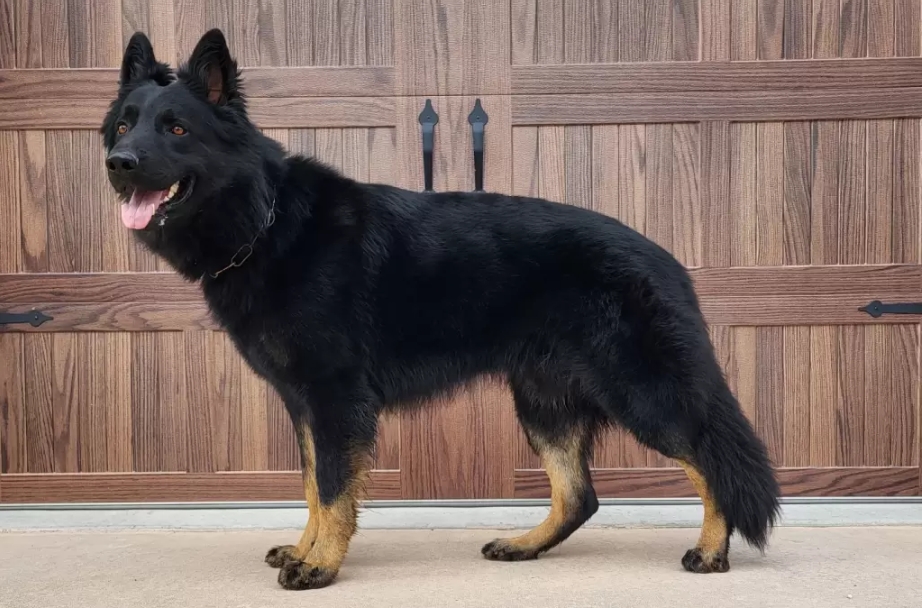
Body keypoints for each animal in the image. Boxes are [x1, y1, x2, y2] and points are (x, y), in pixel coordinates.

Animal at [100, 28, 776, 588]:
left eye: (177, 129)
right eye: (125, 126)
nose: (118, 164)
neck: (264, 222)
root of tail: (667, 259)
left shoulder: (334, 399)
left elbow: (332, 487)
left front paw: (321, 565)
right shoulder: (304, 404)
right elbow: (313, 486)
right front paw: (305, 549)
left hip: (641, 396)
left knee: (711, 458)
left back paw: (711, 551)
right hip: (543, 402)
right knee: (579, 495)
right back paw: (524, 545)